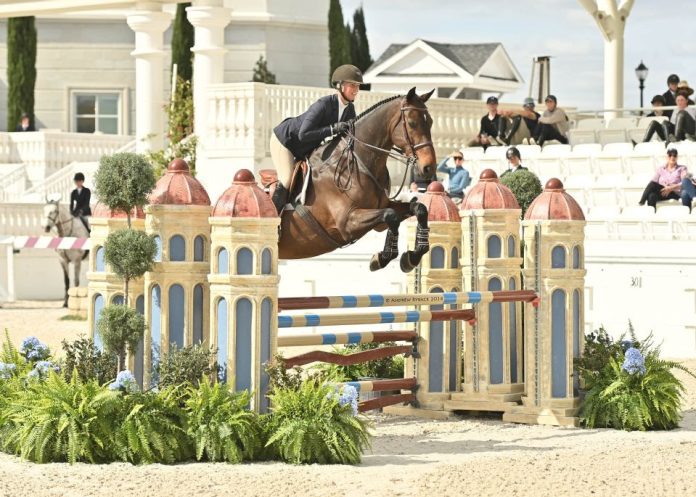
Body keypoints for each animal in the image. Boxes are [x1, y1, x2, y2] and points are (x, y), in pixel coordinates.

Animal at [277, 87, 437, 273]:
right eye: (412, 123)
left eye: (430, 122)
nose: (429, 168)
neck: (357, 165)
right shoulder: (346, 222)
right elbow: (391, 216)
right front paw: (380, 259)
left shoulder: (379, 218)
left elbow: (419, 208)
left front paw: (412, 257)